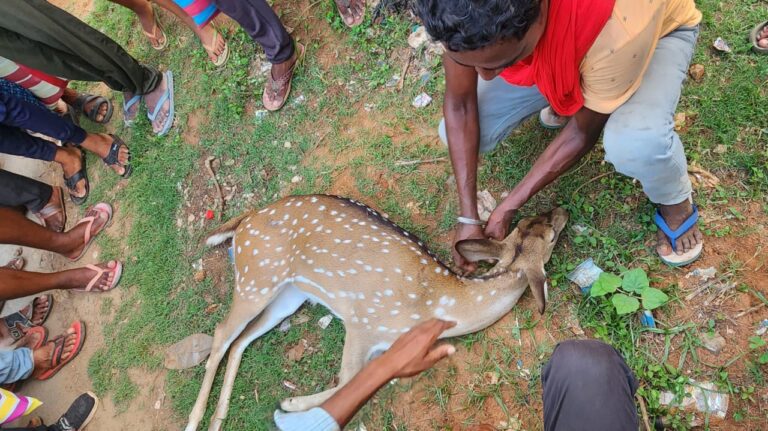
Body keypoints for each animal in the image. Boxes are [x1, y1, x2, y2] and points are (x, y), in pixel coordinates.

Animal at [186, 196, 568, 431]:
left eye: (531, 221)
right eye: (550, 236)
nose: (561, 209)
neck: (441, 303)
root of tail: (245, 220)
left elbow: (351, 379)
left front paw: (291, 404)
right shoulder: (362, 320)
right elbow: (347, 379)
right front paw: (290, 404)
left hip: (286, 295)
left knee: (240, 341)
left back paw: (219, 419)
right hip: (257, 277)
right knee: (221, 333)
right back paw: (195, 420)